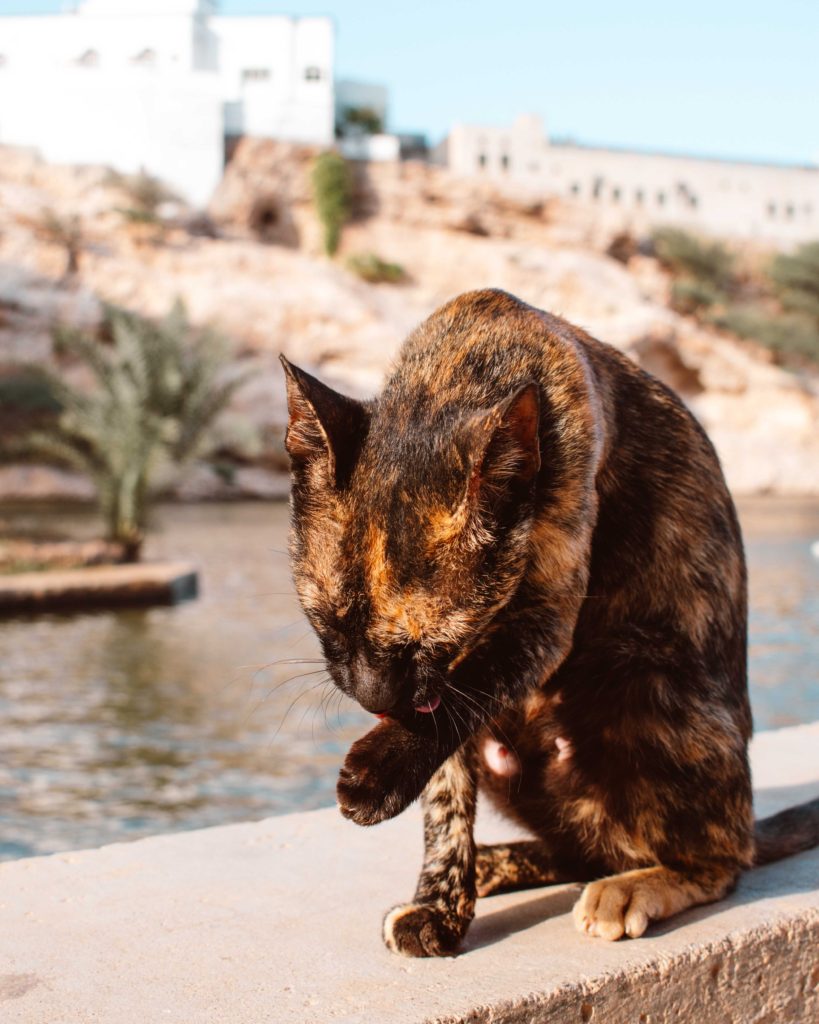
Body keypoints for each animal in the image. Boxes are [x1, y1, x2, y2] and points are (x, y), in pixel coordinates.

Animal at [280, 290, 818, 958]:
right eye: (328, 624)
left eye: (435, 642)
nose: (373, 697)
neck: (462, 365)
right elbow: (446, 798)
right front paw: (439, 906)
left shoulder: (544, 616)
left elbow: (467, 693)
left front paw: (378, 775)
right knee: (586, 848)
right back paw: (492, 866)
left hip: (641, 672)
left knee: (717, 861)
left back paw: (632, 887)